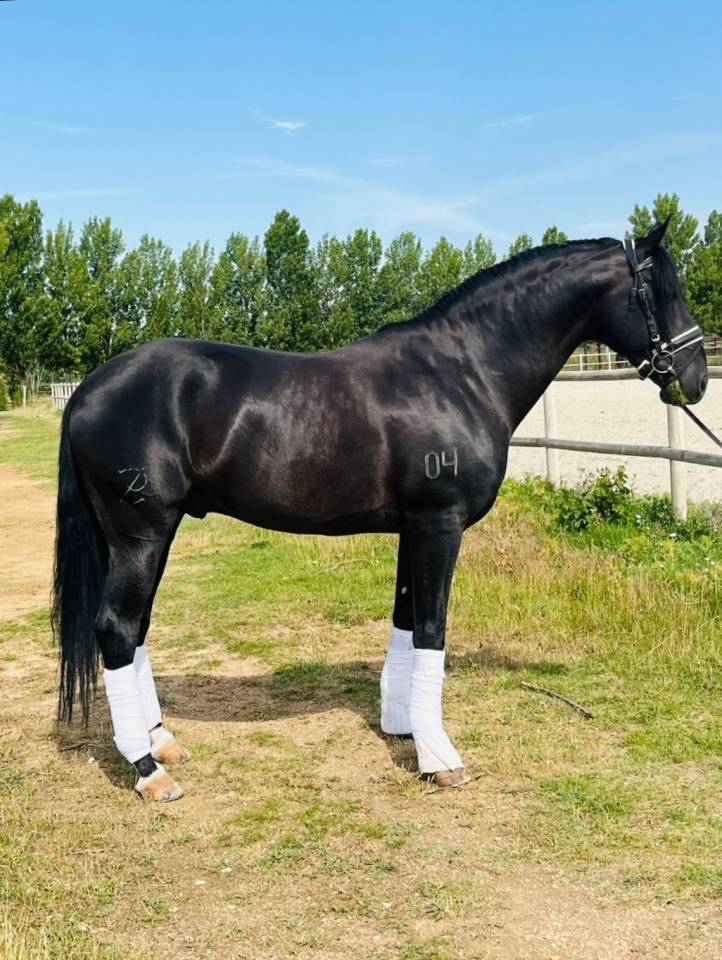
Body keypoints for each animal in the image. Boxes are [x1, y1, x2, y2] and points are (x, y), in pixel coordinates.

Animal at [52, 221, 709, 800]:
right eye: (665, 291)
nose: (697, 378)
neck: (463, 371)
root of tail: (86, 390)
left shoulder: (413, 528)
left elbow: (406, 622)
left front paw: (404, 730)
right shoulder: (439, 525)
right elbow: (433, 629)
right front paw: (440, 759)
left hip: (147, 537)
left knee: (135, 629)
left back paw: (161, 741)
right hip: (141, 534)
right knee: (116, 628)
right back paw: (147, 770)